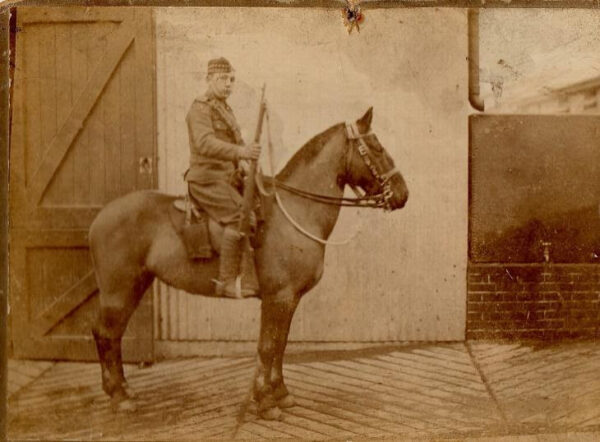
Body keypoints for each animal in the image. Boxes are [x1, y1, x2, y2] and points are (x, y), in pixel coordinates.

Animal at [89, 106, 408, 418]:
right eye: (377, 147)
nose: (402, 194)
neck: (293, 211)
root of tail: (100, 217)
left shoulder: (289, 299)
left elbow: (280, 344)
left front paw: (279, 393)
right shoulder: (278, 297)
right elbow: (267, 347)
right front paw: (265, 401)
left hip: (136, 286)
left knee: (112, 334)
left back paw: (123, 390)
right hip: (119, 291)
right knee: (106, 333)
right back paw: (119, 396)